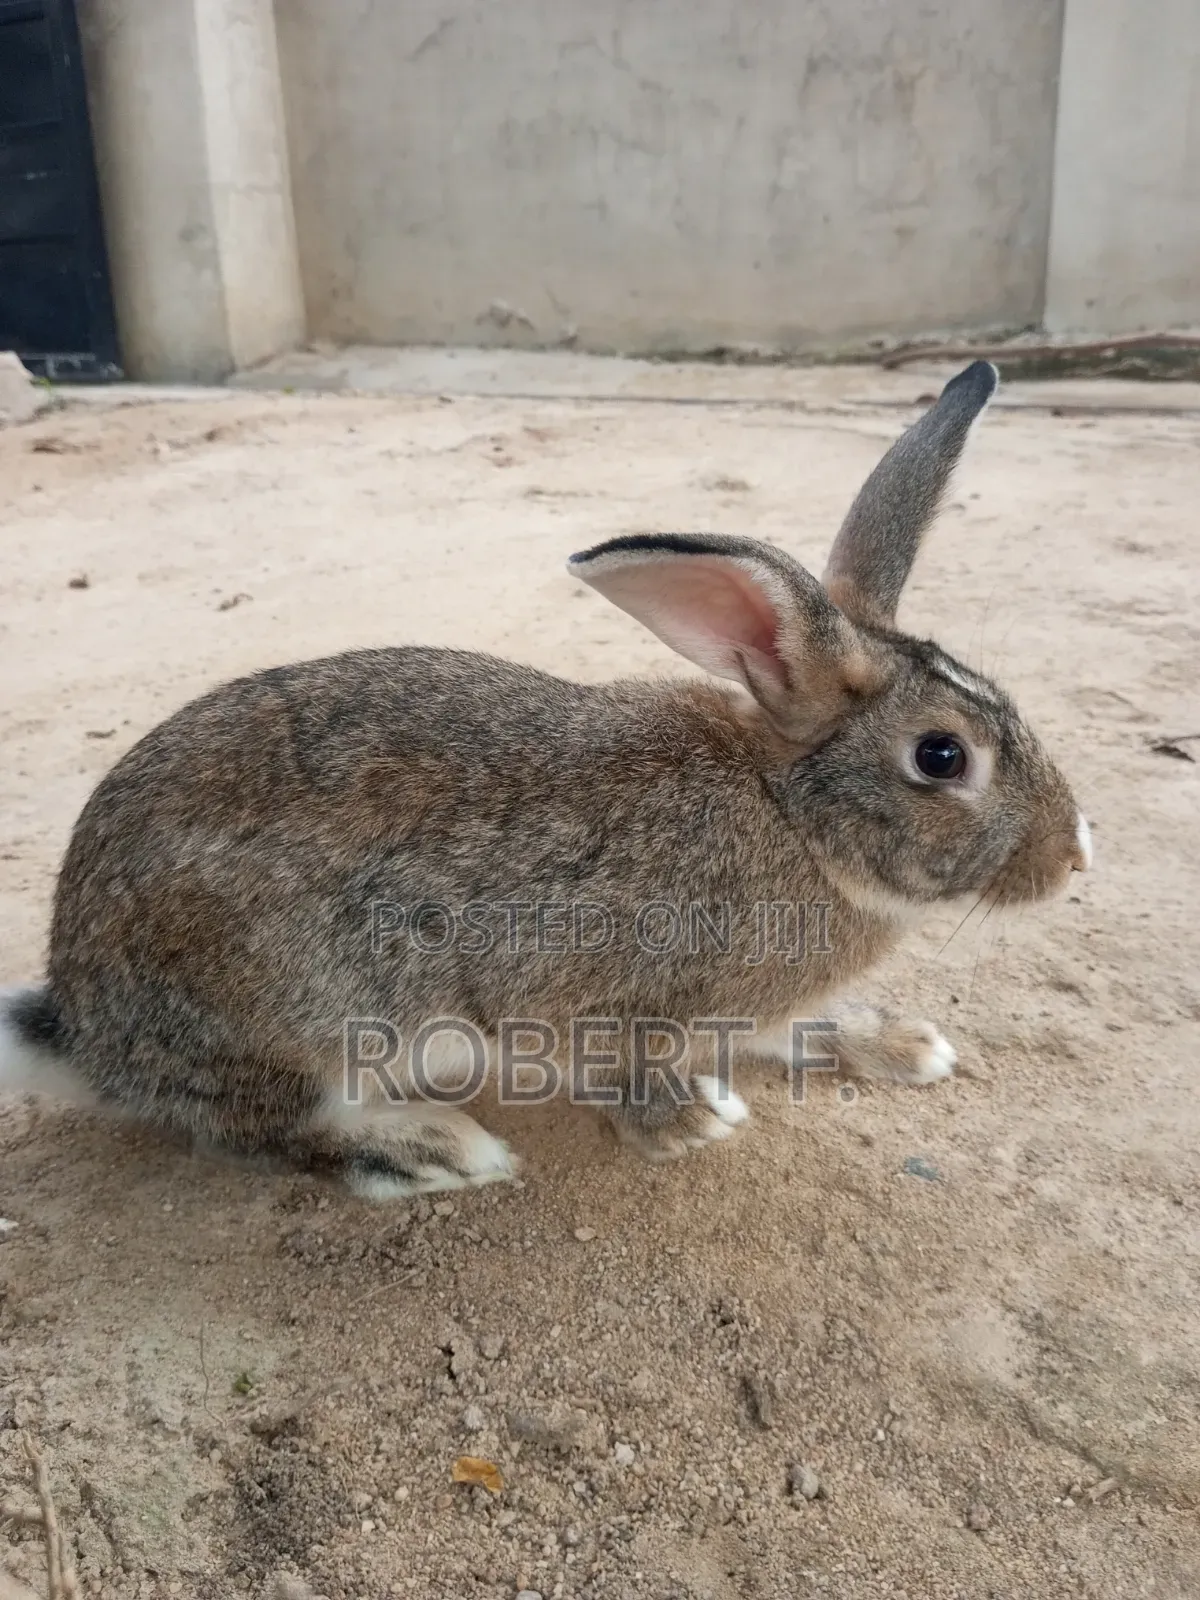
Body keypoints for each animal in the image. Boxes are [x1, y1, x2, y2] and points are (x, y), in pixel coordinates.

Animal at [0, 361, 1091, 1196]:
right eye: (942, 756)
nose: (1077, 852)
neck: (791, 813)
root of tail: (82, 1028)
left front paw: (905, 1045)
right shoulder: (589, 989)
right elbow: (607, 1059)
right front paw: (688, 1123)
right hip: (295, 1010)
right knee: (268, 1124)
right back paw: (432, 1148)